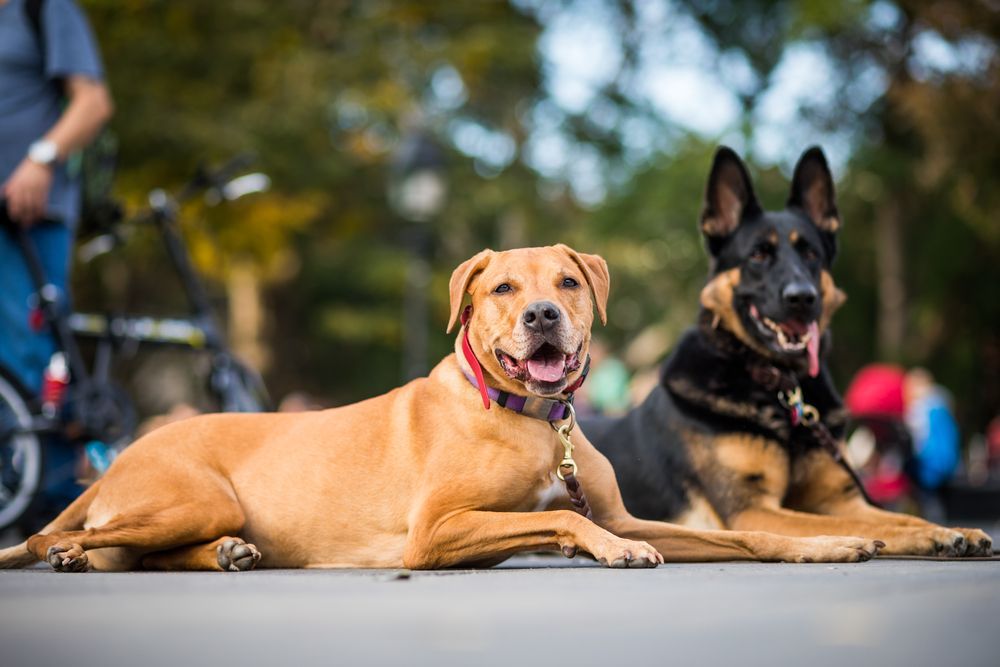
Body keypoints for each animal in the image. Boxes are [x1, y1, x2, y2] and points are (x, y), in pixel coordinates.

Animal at [0, 247, 884, 576]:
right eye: (503, 287)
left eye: (567, 282)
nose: (541, 315)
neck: (533, 417)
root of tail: (124, 452)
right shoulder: (434, 531)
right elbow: (561, 516)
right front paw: (603, 548)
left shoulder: (633, 511)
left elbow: (743, 532)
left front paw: (828, 542)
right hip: (191, 495)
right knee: (58, 535)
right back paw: (67, 551)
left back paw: (227, 554)